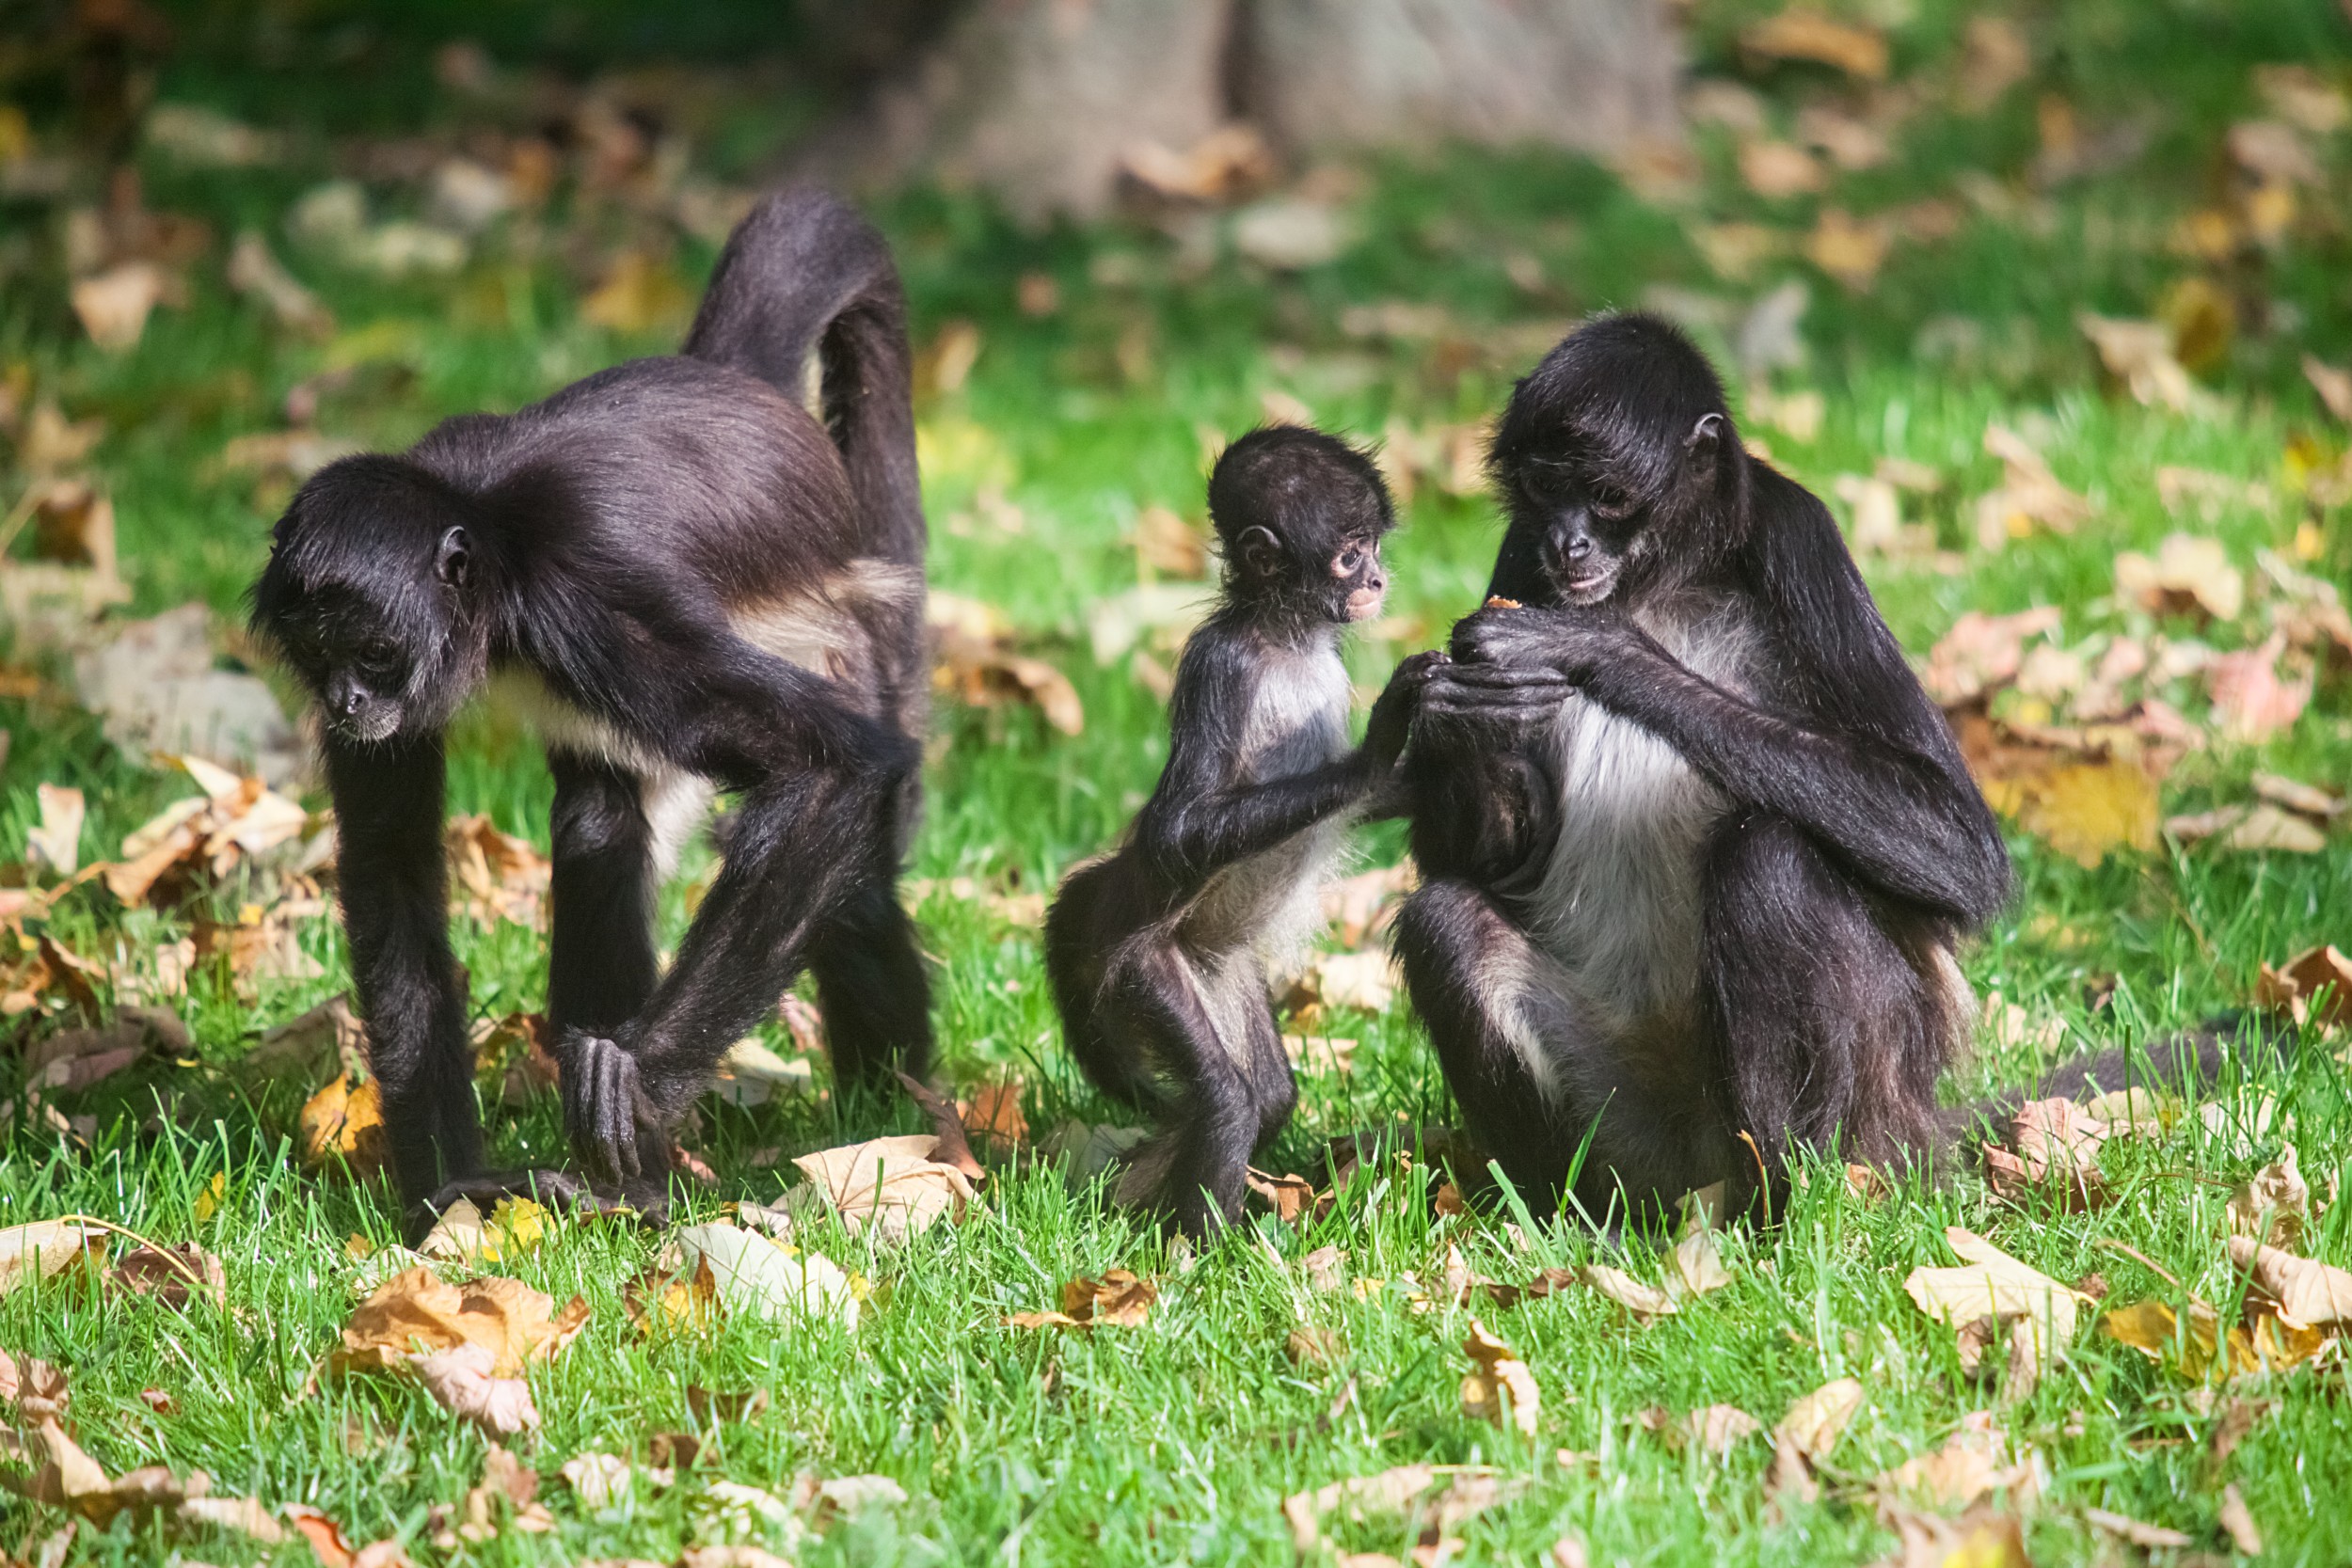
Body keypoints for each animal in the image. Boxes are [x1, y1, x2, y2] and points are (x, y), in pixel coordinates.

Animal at [247, 186, 927, 1241]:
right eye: (320, 660)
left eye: (374, 652)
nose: (350, 702)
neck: (489, 528)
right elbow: (393, 870)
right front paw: (447, 1198)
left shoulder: (589, 604)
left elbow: (833, 767)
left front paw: (636, 1095)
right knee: (602, 819)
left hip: (833, 631)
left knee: (843, 872)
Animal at [1054, 430, 1449, 1241]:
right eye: (1348, 555)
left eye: (1373, 545)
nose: (1378, 579)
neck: (1286, 638)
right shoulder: (1221, 663)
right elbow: (1175, 832)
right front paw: (1380, 741)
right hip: (1148, 965)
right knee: (1231, 1099)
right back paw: (1193, 1250)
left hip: (1219, 965)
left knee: (1268, 1093)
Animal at [1392, 314, 2023, 1222]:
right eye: (1545, 490)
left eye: (1606, 495)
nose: (1568, 543)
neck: (1661, 581)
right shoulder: (1520, 554)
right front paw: (1453, 710)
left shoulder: (1799, 534)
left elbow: (1963, 851)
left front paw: (1604, 653)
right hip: (1630, 1128)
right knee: (1446, 922)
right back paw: (1575, 1218)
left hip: (1879, 1106)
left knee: (1768, 858)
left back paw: (1789, 1208)